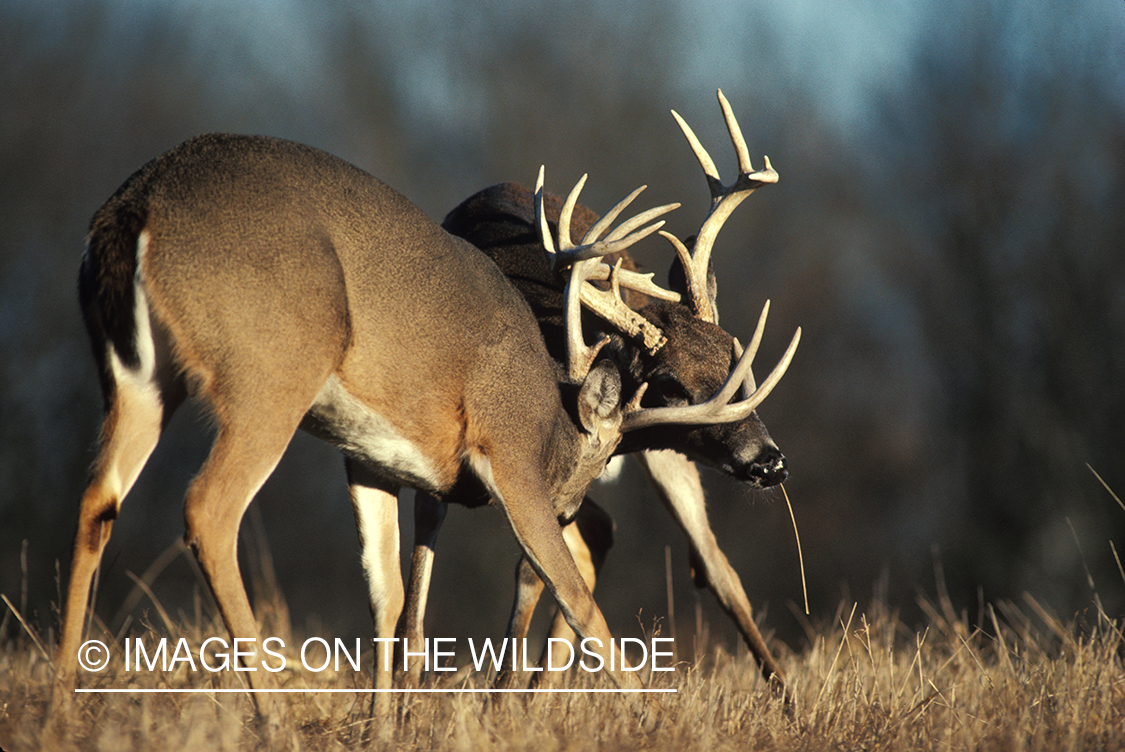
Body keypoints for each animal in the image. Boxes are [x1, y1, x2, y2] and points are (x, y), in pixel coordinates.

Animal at [405, 94, 801, 697]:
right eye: (669, 386)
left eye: (735, 355)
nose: (770, 461)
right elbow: (421, 583)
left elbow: (537, 570)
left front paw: (501, 699)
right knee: (607, 535)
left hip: (658, 457)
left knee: (712, 562)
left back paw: (788, 700)